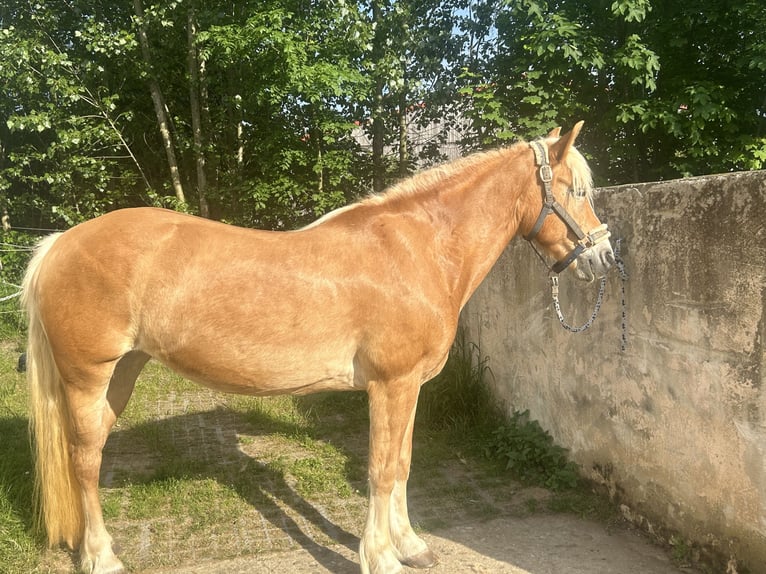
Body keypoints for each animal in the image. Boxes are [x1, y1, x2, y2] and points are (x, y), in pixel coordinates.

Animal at [19, 122, 616, 574]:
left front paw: (411, 546)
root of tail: (60, 243)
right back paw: (102, 557)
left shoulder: (409, 388)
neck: (417, 250)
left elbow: (402, 463)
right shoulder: (390, 385)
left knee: (90, 453)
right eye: (577, 191)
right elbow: (380, 469)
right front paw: (381, 557)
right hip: (88, 376)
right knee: (84, 460)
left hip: (122, 373)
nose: (603, 257)